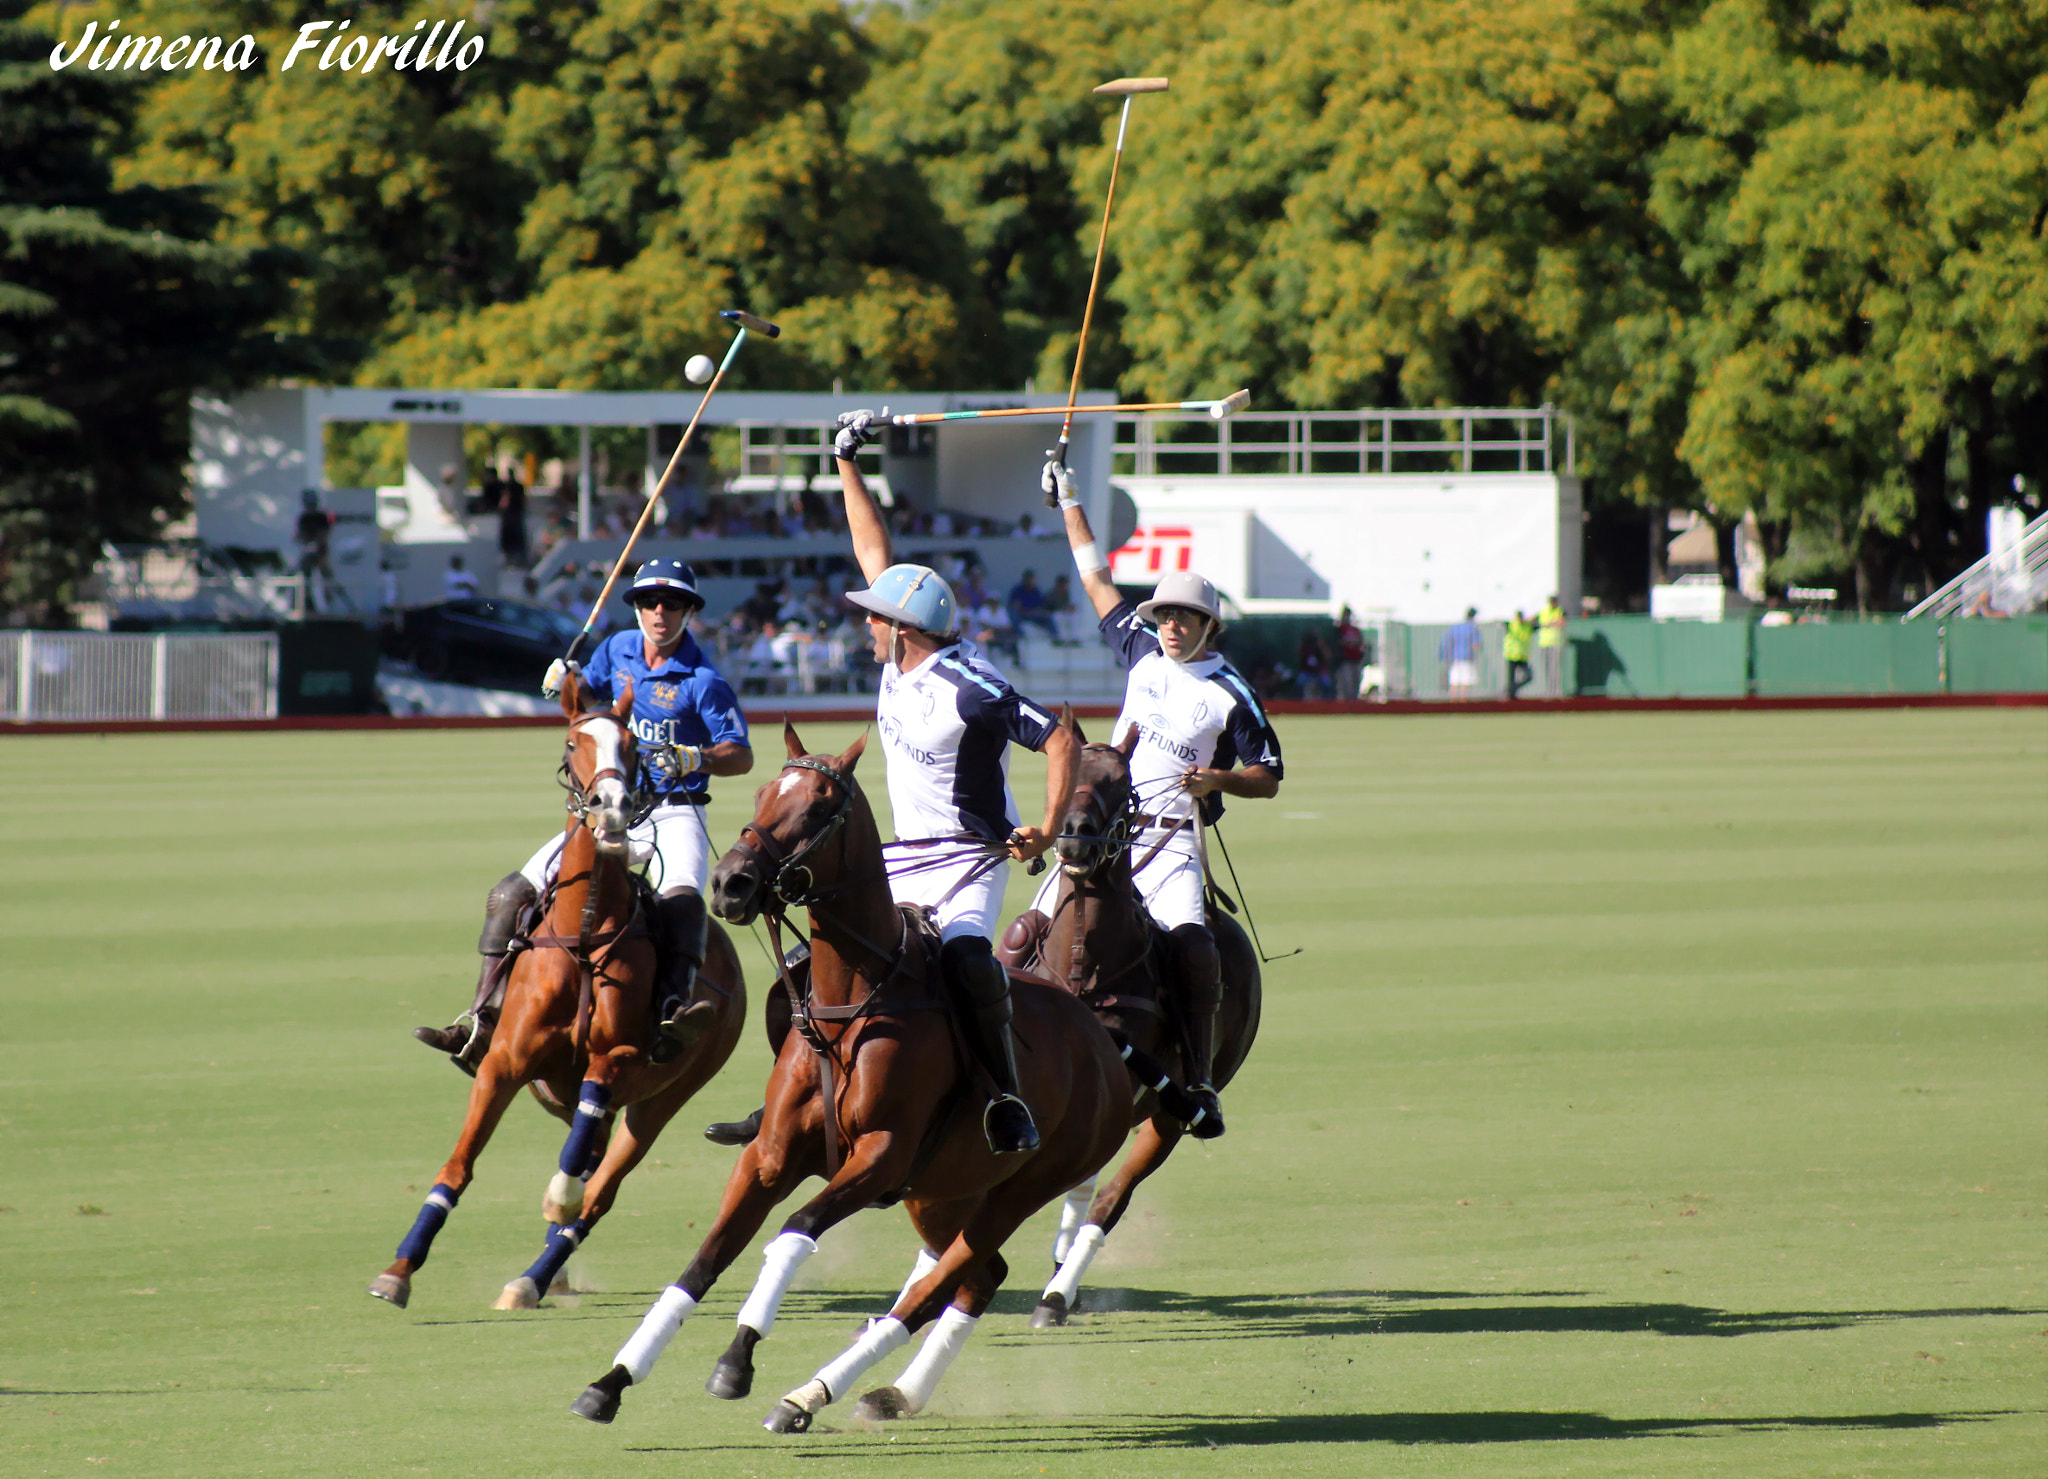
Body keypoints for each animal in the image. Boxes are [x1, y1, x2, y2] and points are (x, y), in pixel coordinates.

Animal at [372, 675, 749, 1311]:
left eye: (633, 745)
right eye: (574, 743)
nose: (613, 808)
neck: (586, 931)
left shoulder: (619, 1057)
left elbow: (578, 1165)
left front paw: (558, 1199)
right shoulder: (504, 1060)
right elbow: (458, 1166)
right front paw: (398, 1271)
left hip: (661, 1100)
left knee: (598, 1188)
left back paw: (535, 1275)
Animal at [569, 721, 1130, 1433]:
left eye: (817, 808)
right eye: (761, 793)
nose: (729, 883)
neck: (851, 1003)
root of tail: (1100, 1039)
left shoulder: (881, 1157)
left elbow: (793, 1233)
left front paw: (737, 1360)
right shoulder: (770, 1154)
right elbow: (703, 1263)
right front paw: (610, 1381)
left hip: (1023, 1186)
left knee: (945, 1283)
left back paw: (814, 1393)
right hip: (942, 1192)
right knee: (977, 1278)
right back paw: (880, 1394)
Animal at [995, 725, 1261, 1327]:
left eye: (1120, 783)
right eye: (1065, 772)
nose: (1073, 840)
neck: (1084, 969)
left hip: (1170, 1113)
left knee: (1111, 1196)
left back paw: (1056, 1295)